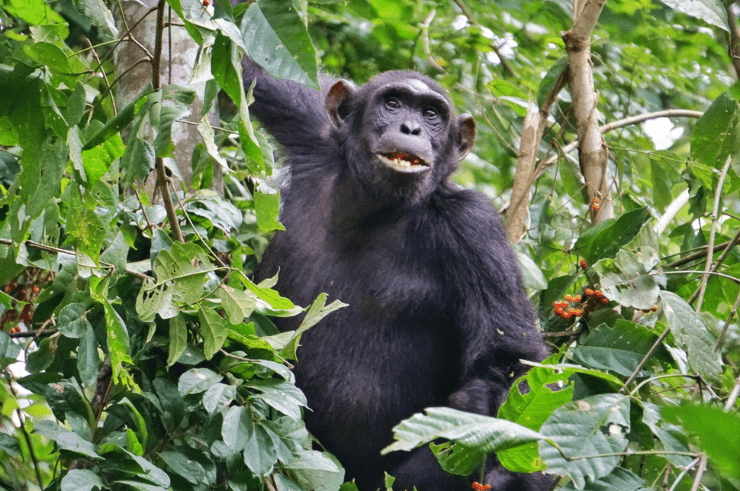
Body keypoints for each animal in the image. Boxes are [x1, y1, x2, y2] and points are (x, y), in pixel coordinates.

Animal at [246, 58, 552, 491]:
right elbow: (262, 72)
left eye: (432, 114)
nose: (411, 128)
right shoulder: (316, 131)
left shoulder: (475, 230)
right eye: (392, 103)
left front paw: (507, 475)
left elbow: (512, 360)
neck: (376, 207)